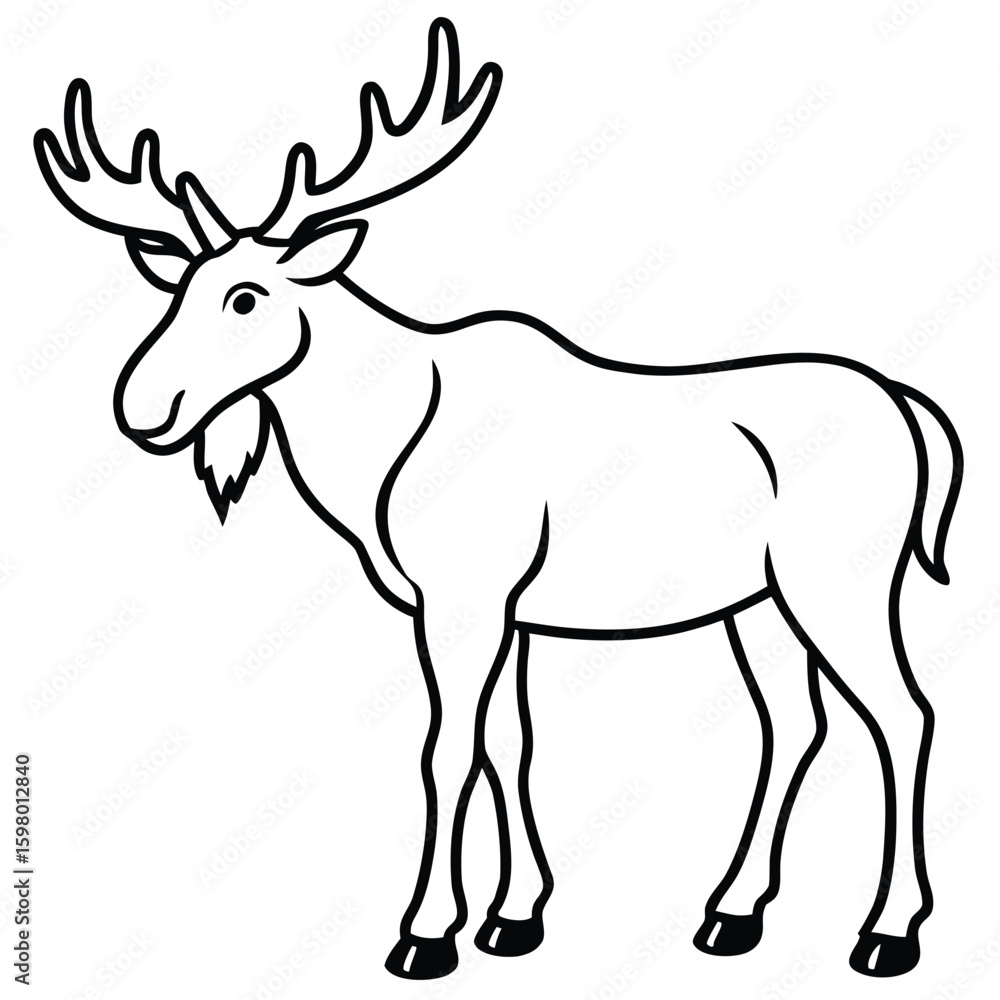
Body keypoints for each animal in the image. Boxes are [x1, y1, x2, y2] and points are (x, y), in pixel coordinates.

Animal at [35, 17, 962, 982]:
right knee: (794, 725)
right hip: (757, 601)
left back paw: (888, 932)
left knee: (905, 714)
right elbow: (509, 745)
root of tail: (911, 407)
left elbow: (448, 751)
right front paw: (515, 917)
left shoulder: (463, 598)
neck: (373, 460)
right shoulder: (509, 610)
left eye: (246, 297)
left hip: (841, 580)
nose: (143, 407)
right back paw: (731, 912)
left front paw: (425, 932)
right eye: (177, 287)